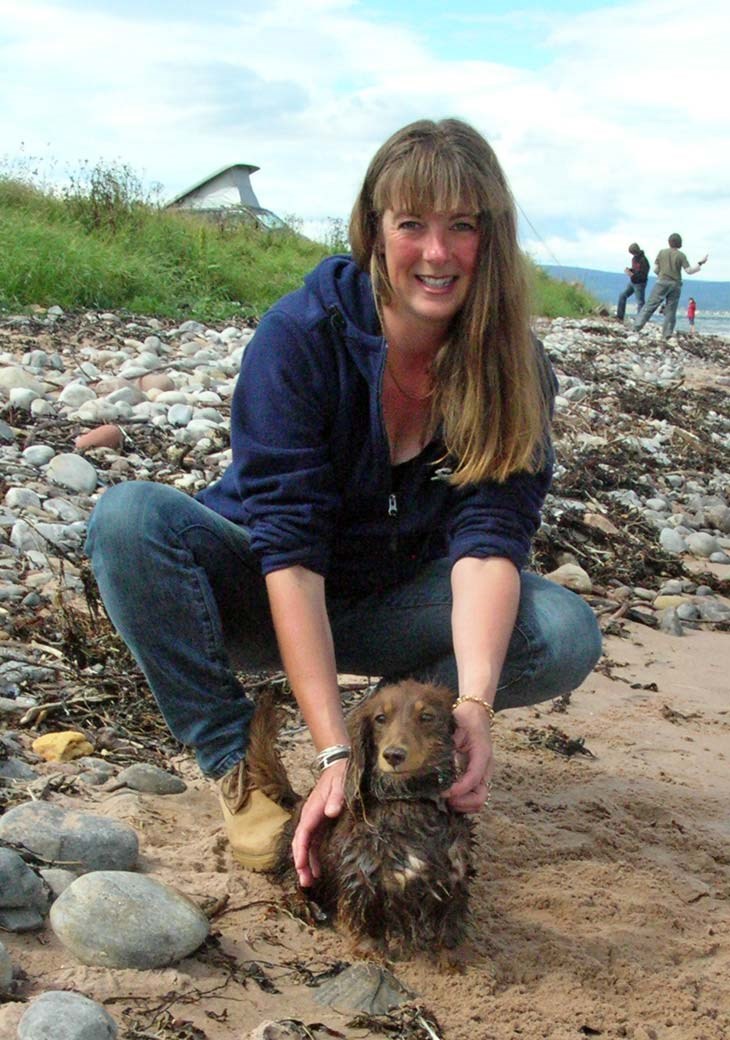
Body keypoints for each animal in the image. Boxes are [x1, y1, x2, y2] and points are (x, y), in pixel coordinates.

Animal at [244, 682, 474, 956]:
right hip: (300, 852)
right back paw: (304, 903)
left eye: (427, 717)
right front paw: (371, 952)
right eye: (380, 718)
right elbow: (366, 922)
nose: (393, 755)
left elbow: (450, 927)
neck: (406, 801)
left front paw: (453, 958)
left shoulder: (453, 877)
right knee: (291, 878)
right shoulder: (361, 879)